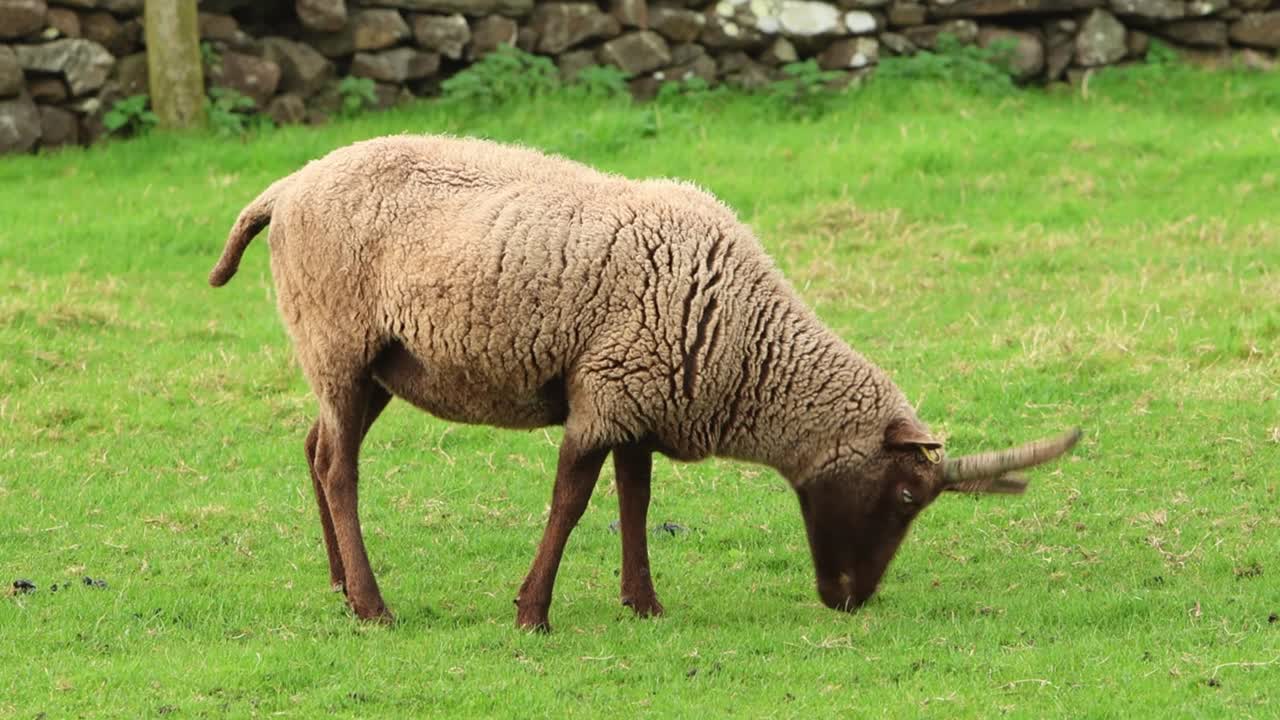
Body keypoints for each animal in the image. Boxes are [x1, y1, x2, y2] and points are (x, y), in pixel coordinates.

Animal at [209, 134, 1081, 631]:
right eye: (904, 497)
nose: (850, 601)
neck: (748, 347)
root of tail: (284, 188)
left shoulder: (641, 394)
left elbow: (635, 498)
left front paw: (643, 605)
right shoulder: (605, 393)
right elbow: (571, 501)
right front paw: (533, 615)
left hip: (370, 363)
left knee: (315, 446)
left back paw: (337, 585)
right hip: (339, 340)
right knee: (338, 467)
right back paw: (373, 606)